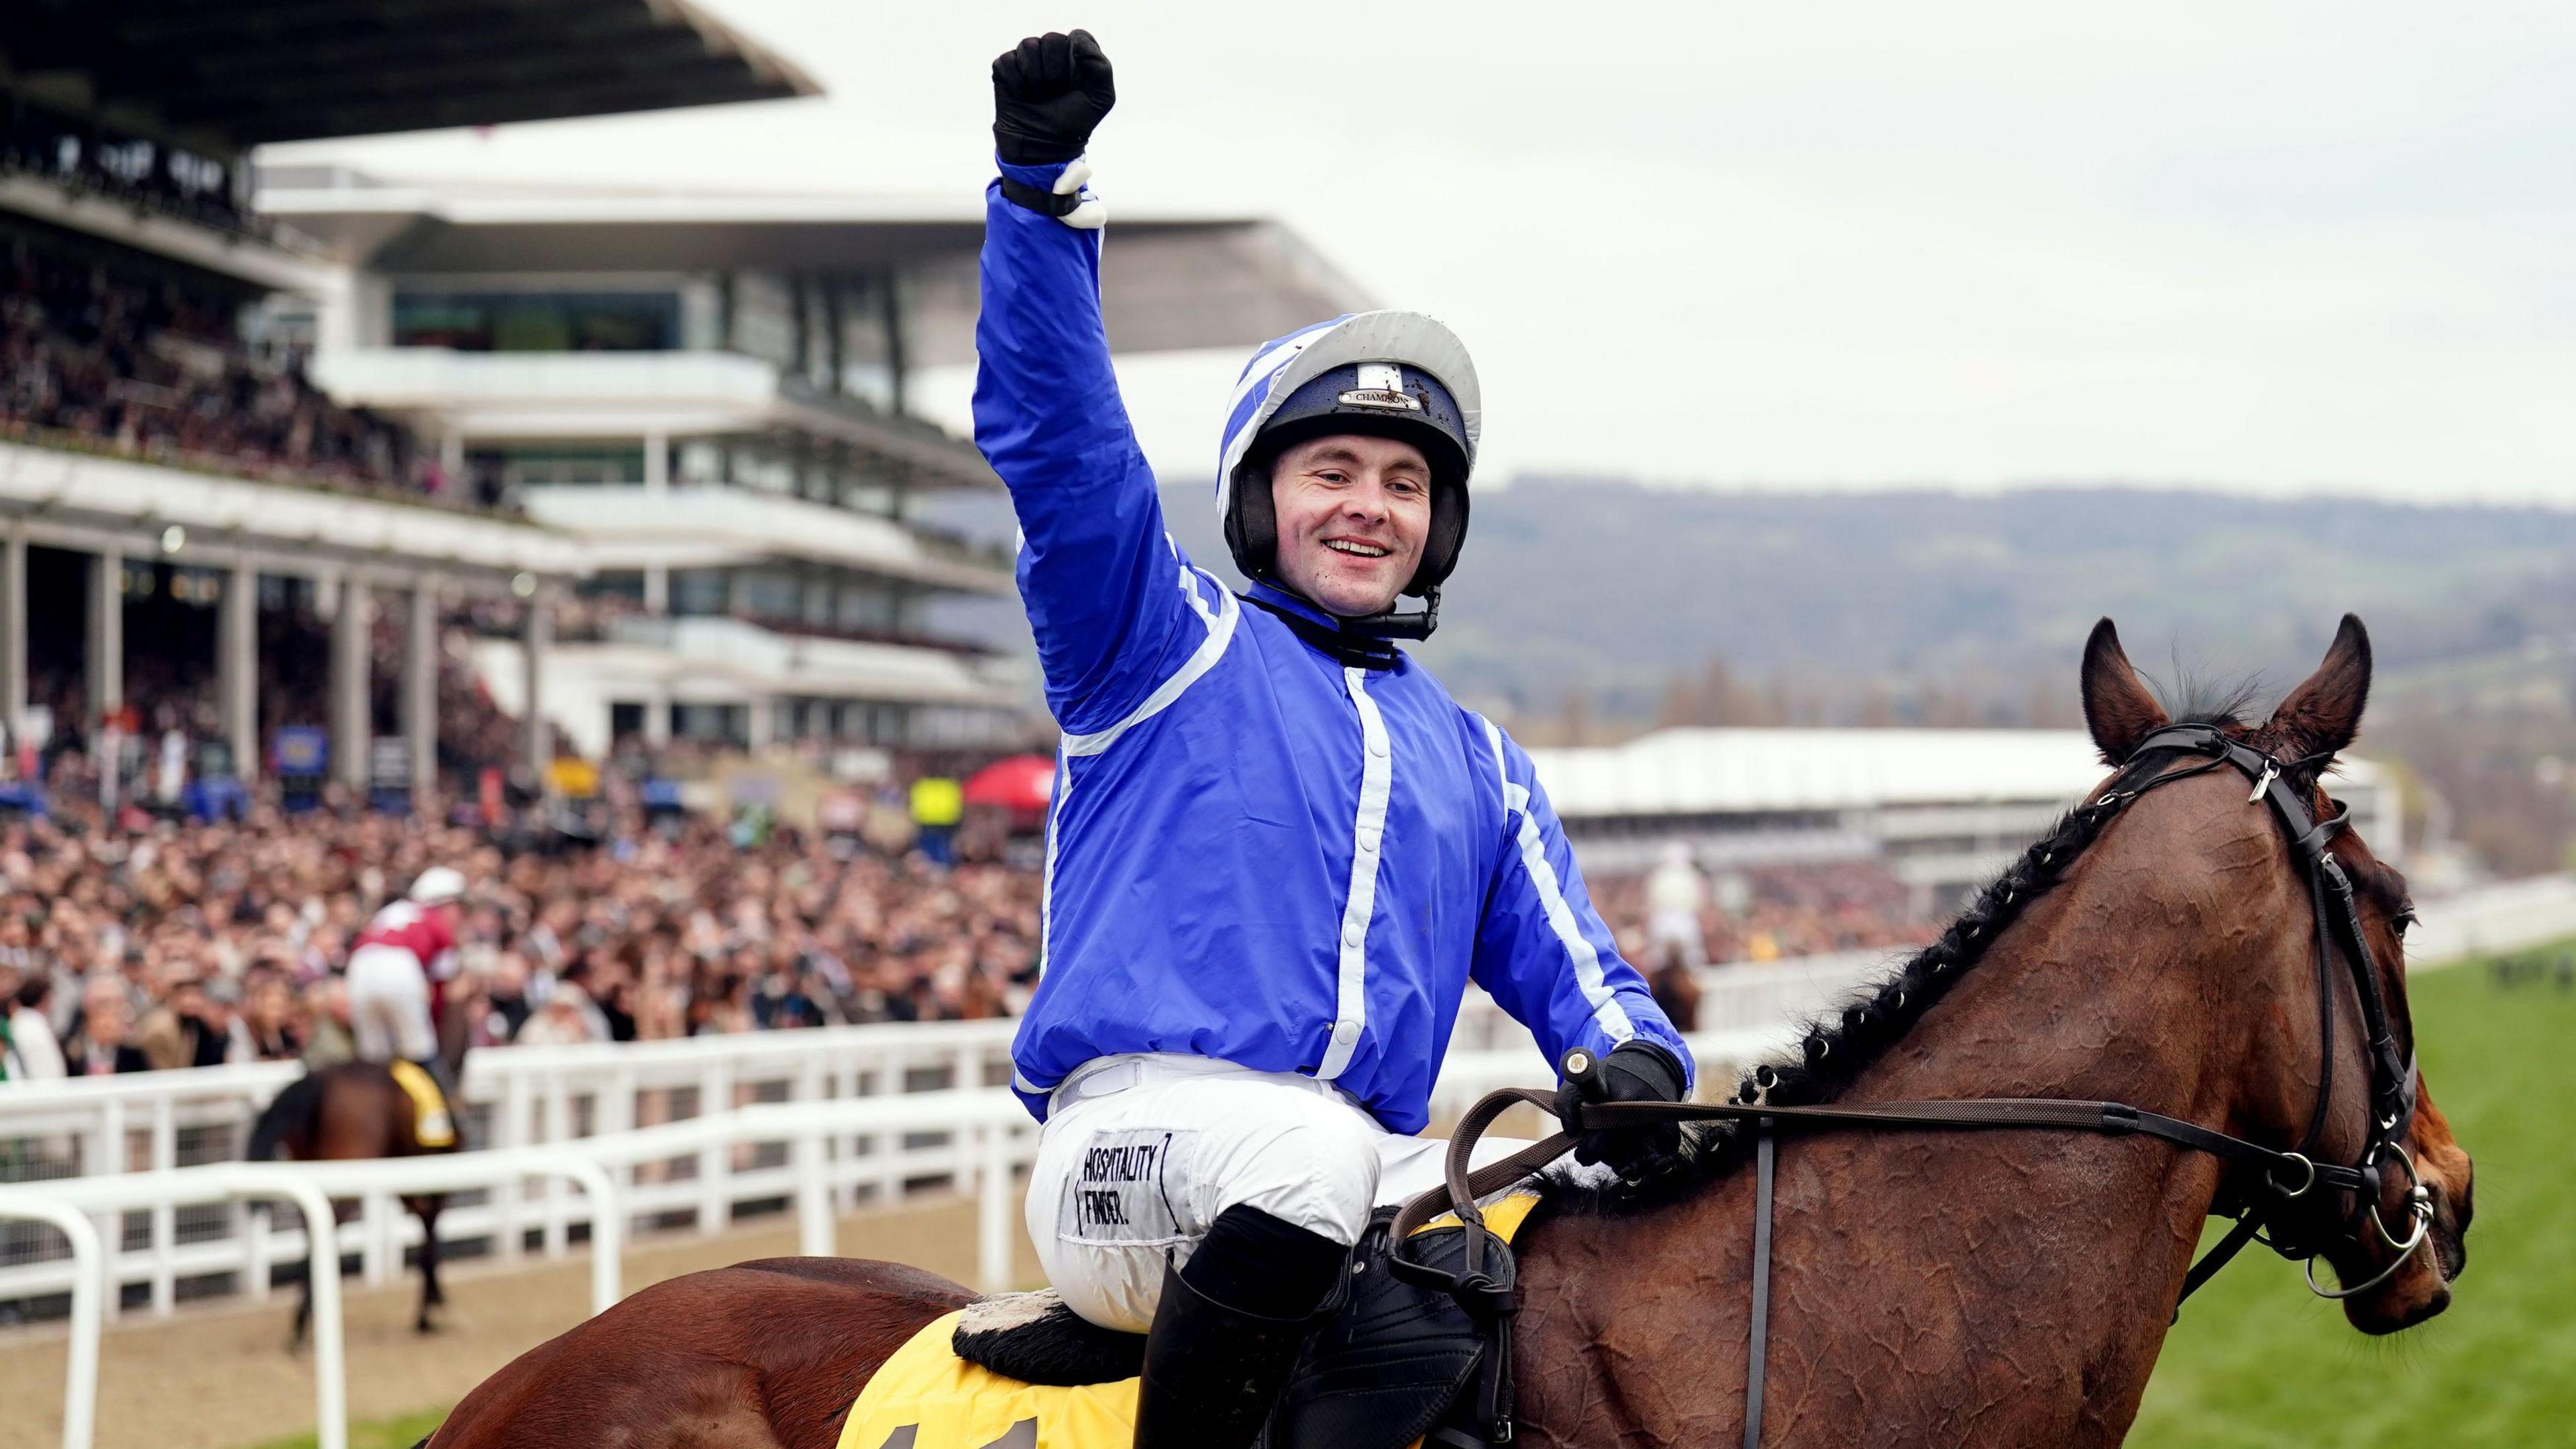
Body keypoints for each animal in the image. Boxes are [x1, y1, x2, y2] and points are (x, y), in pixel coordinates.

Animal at [246, 1046, 464, 1340]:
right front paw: (429, 1308)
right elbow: (431, 1225)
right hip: (349, 1162)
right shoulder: (439, 1176)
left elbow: (424, 1221)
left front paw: (431, 1301)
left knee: (309, 1222)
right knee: (333, 1218)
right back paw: (305, 1316)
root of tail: (319, 1080)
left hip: (308, 1160)